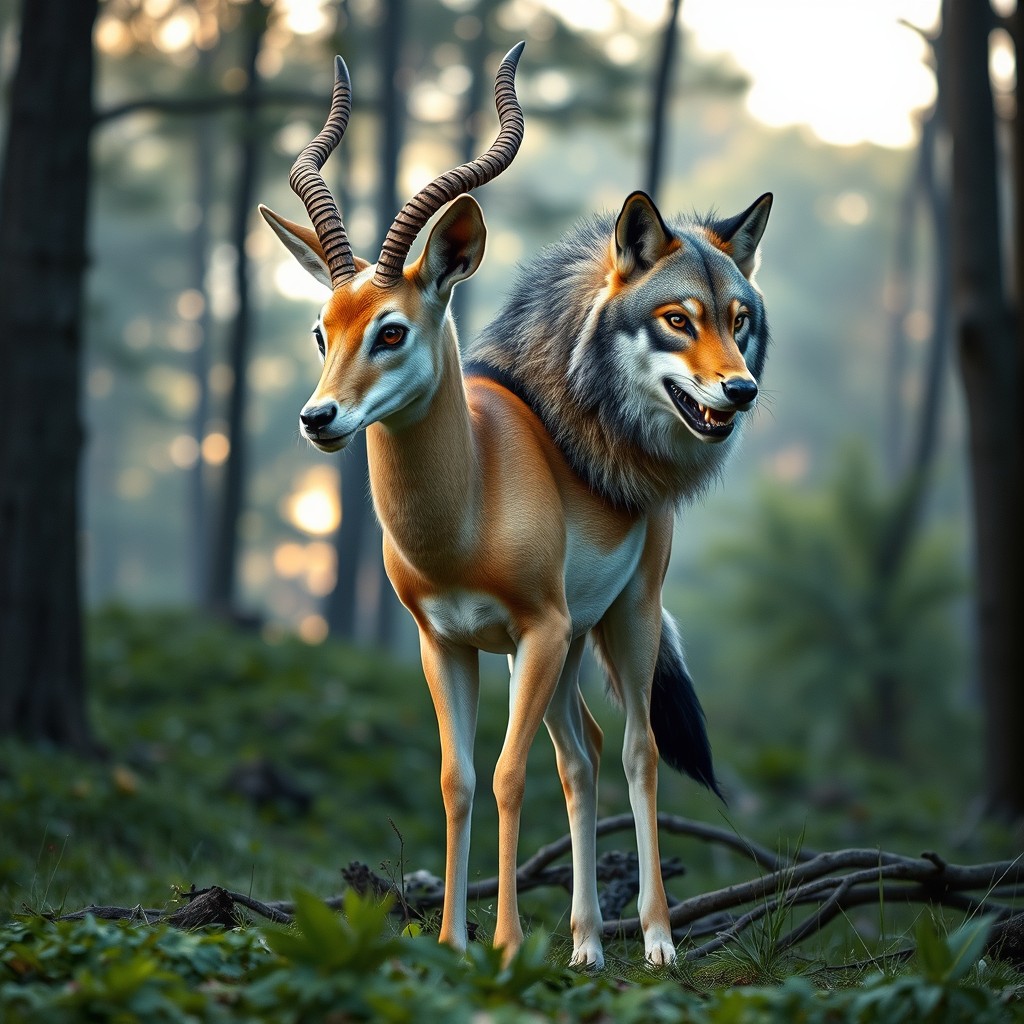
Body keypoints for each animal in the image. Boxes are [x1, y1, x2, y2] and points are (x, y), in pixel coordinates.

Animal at [261, 43, 772, 969]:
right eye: (323, 327)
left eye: (392, 329)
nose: (321, 419)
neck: (471, 507)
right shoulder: (447, 642)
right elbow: (457, 778)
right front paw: (453, 941)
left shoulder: (534, 631)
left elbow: (505, 773)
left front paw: (500, 945)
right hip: (570, 647)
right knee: (584, 755)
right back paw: (585, 946)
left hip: (624, 619)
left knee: (638, 750)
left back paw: (655, 942)